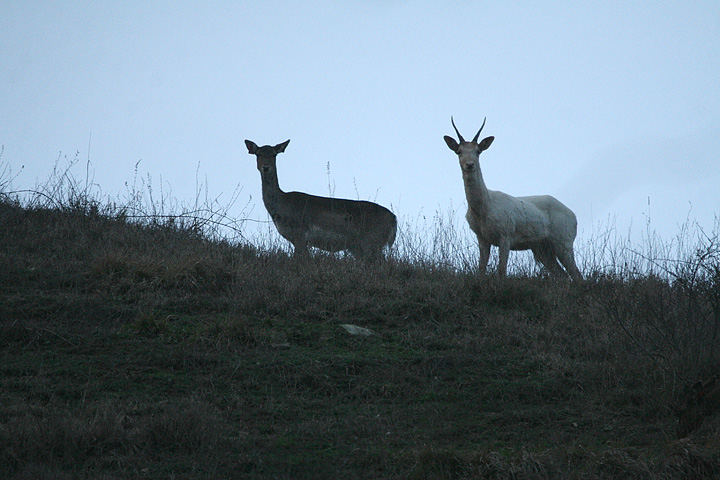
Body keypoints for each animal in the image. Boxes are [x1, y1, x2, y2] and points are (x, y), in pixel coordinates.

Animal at [245, 139, 396, 262]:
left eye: (273, 154)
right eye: (258, 154)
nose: (266, 167)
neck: (281, 208)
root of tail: (393, 219)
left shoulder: (300, 233)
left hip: (372, 241)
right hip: (359, 247)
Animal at [442, 117, 584, 280]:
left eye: (478, 151)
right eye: (459, 151)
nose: (469, 165)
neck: (483, 210)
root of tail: (574, 216)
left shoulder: (506, 233)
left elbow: (501, 269)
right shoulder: (482, 237)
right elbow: (481, 268)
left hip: (564, 239)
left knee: (576, 274)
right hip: (542, 248)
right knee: (562, 274)